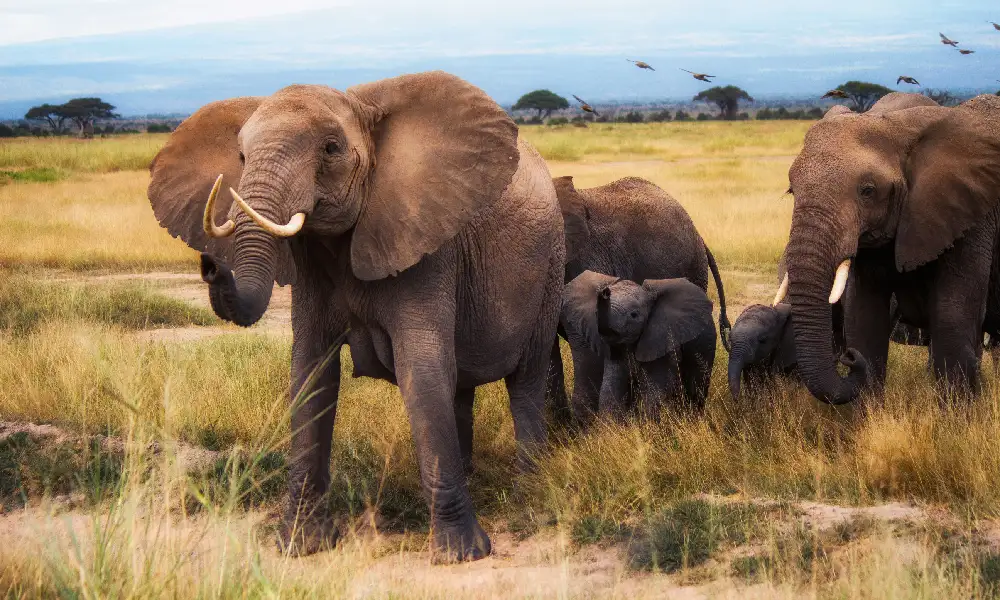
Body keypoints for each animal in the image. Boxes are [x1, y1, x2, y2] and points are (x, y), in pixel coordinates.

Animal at [146, 71, 565, 561]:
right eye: (241, 157)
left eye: (331, 149)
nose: (211, 263)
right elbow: (311, 375)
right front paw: (300, 545)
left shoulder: (426, 244)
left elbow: (420, 372)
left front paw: (461, 554)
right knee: (460, 385)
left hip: (549, 268)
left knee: (526, 382)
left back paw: (527, 494)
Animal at [561, 271, 717, 417]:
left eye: (634, 315)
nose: (605, 291)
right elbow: (611, 388)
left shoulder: (662, 341)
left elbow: (655, 389)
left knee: (695, 386)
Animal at [777, 92, 1000, 404]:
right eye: (792, 191)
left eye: (868, 191)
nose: (847, 357)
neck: (896, 123)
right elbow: (865, 320)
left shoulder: (970, 215)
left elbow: (952, 324)